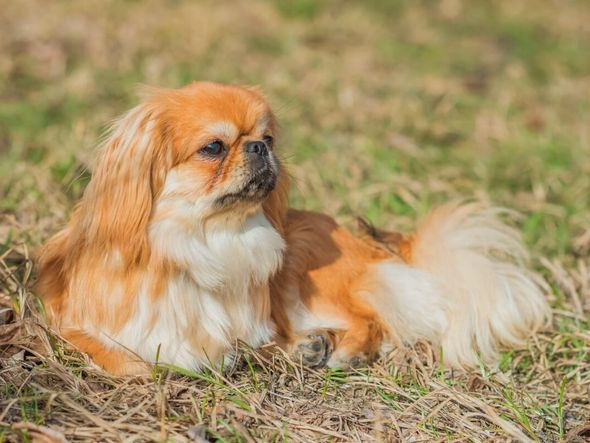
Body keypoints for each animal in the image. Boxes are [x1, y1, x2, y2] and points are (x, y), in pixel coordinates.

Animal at [37, 80, 552, 374]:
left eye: (266, 137)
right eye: (213, 147)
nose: (260, 148)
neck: (205, 241)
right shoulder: (75, 322)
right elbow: (124, 358)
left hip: (303, 267)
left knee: (373, 319)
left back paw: (339, 350)